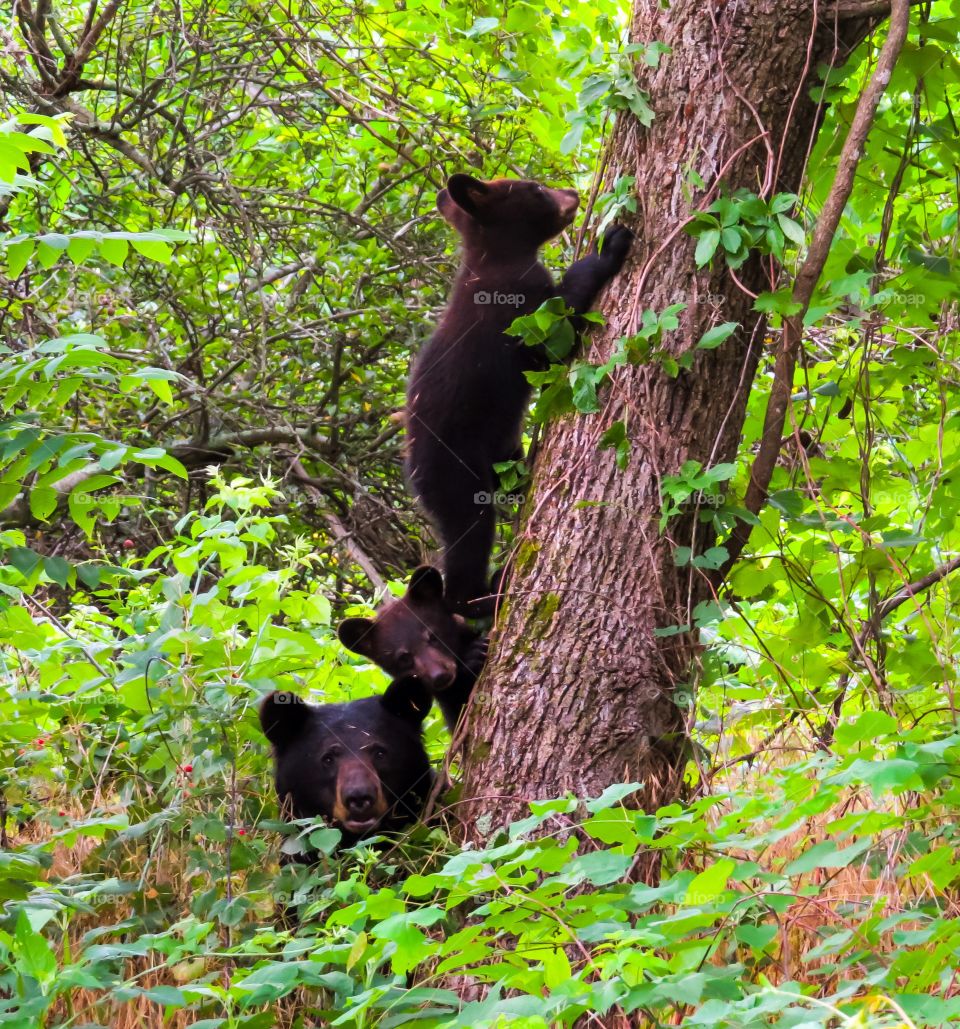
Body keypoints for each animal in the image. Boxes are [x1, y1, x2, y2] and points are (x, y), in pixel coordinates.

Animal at [406, 173, 633, 616]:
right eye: (537, 190)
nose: (573, 194)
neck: (494, 259)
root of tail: (413, 474)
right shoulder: (515, 308)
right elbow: (555, 335)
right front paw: (608, 246)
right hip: (456, 469)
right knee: (470, 531)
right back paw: (480, 597)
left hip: (497, 450)